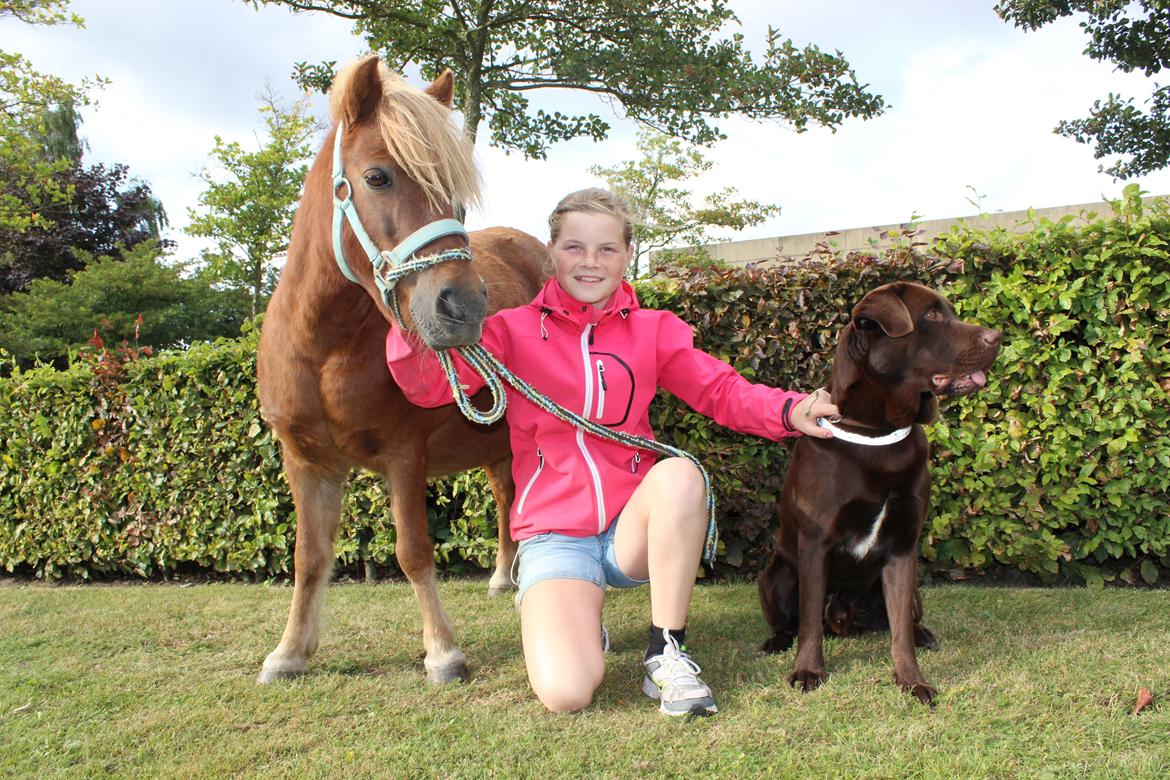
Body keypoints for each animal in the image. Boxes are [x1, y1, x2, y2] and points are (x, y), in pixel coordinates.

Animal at [255, 55, 547, 684]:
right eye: (377, 177)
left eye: (456, 195)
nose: (463, 306)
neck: (324, 348)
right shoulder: (306, 461)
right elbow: (309, 558)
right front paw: (289, 651)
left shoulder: (403, 455)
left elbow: (413, 551)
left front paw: (443, 652)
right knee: (506, 496)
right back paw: (502, 577)